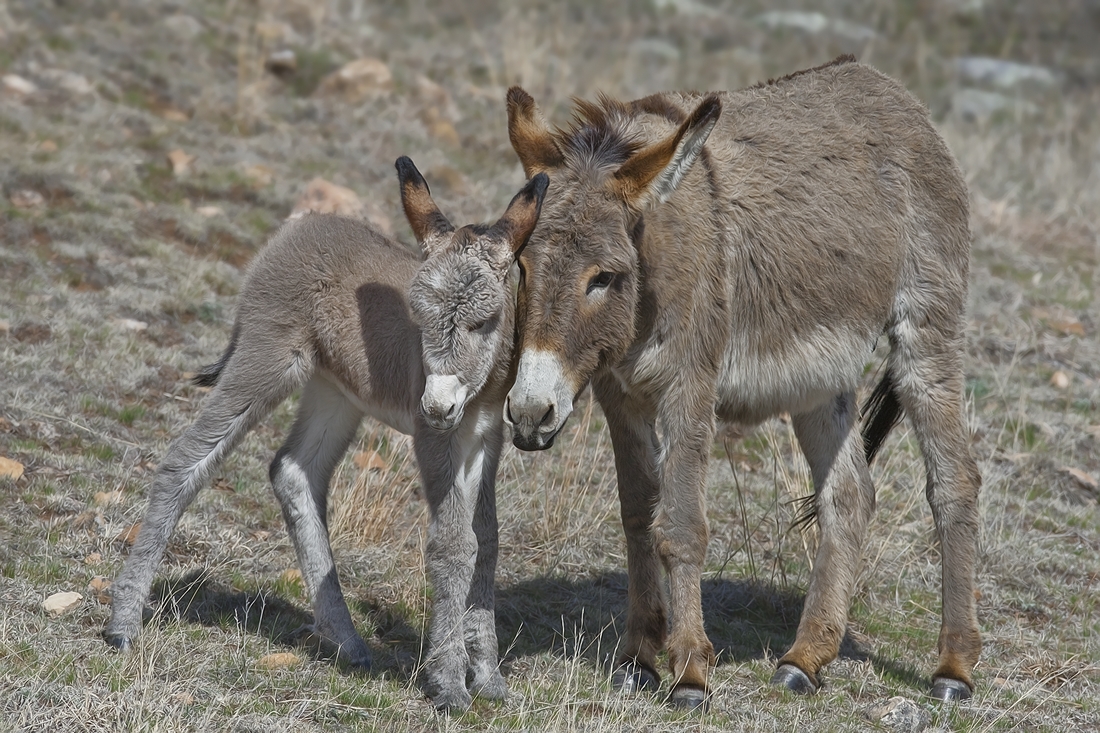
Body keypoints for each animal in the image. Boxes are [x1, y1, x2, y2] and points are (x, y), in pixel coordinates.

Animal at [105, 155, 547, 708]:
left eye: (484, 321)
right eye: (418, 317)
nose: (438, 404)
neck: (475, 393)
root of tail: (300, 226)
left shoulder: (485, 438)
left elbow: (485, 541)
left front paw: (487, 677)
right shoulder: (435, 439)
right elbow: (453, 545)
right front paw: (448, 684)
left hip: (335, 394)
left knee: (293, 470)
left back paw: (347, 641)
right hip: (266, 362)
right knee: (185, 461)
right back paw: (123, 625)